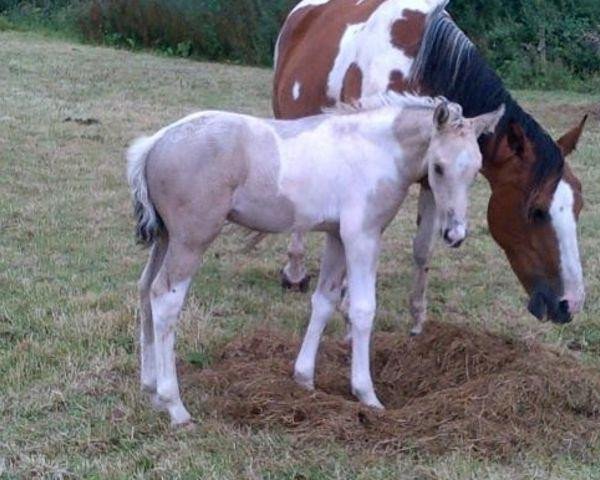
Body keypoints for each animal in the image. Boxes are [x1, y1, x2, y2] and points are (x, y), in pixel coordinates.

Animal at [129, 95, 504, 426]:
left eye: (476, 170)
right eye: (438, 167)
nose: (455, 234)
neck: (378, 150)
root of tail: (157, 142)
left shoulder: (336, 236)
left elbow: (324, 301)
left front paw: (304, 379)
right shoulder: (362, 236)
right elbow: (363, 310)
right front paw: (367, 394)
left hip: (166, 237)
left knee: (145, 289)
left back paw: (150, 390)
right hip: (191, 238)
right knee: (164, 298)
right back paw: (175, 406)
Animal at [274, 0, 588, 334]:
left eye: (580, 205)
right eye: (536, 211)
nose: (570, 304)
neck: (416, 69)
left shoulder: (434, 179)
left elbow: (423, 248)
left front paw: (416, 317)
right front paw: (348, 307)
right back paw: (295, 274)